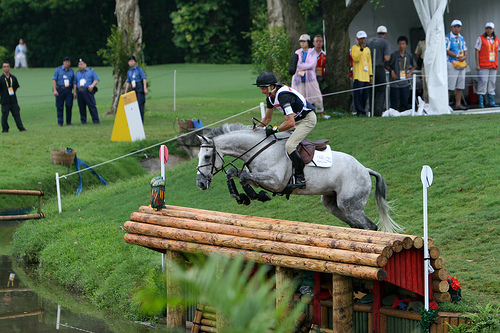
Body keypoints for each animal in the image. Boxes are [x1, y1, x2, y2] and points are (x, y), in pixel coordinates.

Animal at [195, 123, 402, 232]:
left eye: (207, 157)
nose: (200, 183)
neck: (258, 149)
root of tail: (365, 170)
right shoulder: (257, 175)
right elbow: (235, 173)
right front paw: (241, 196)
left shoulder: (275, 181)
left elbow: (244, 177)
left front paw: (256, 195)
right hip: (333, 204)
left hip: (350, 205)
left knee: (370, 227)